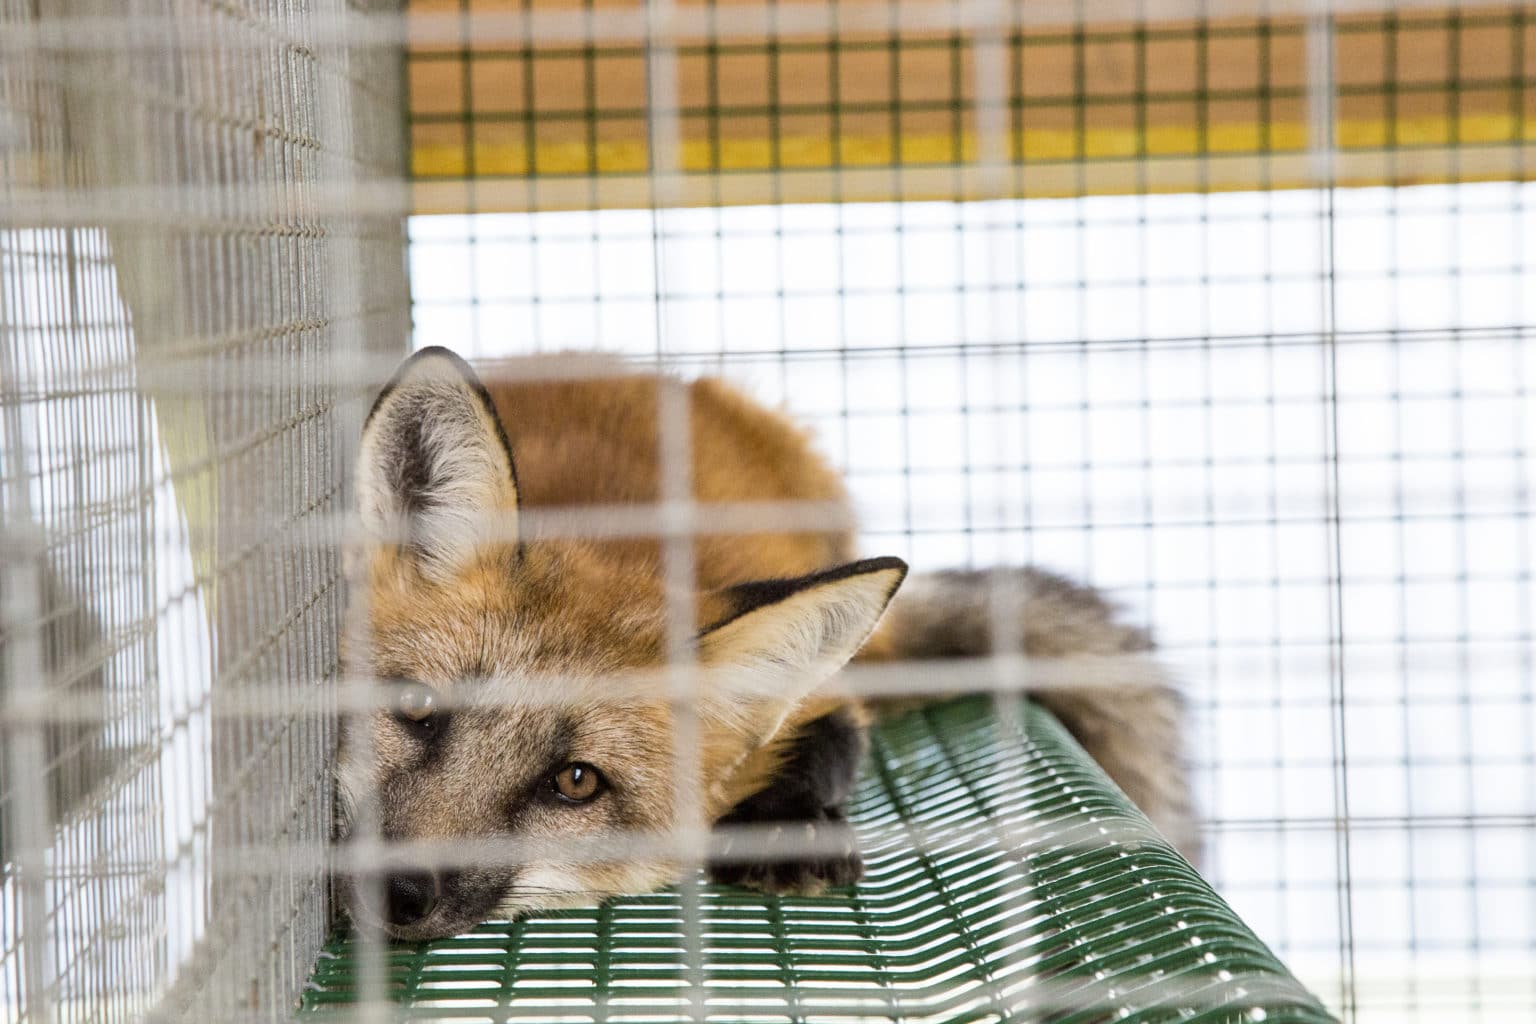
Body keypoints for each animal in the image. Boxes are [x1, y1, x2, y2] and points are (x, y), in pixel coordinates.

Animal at [335, 346, 1196, 941]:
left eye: (576, 782)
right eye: (418, 709)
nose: (396, 891)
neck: (622, 538)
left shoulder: (824, 689)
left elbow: (834, 739)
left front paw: (791, 823)